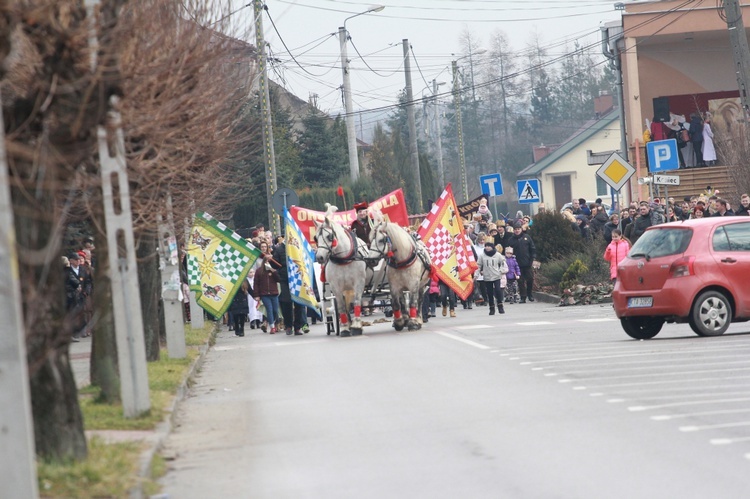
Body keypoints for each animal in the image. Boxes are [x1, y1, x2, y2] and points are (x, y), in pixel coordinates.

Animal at [312, 205, 372, 338]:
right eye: (315, 238)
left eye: (329, 236)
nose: (320, 257)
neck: (344, 259)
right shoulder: (336, 287)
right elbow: (340, 307)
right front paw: (345, 328)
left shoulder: (359, 283)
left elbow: (357, 302)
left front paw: (356, 326)